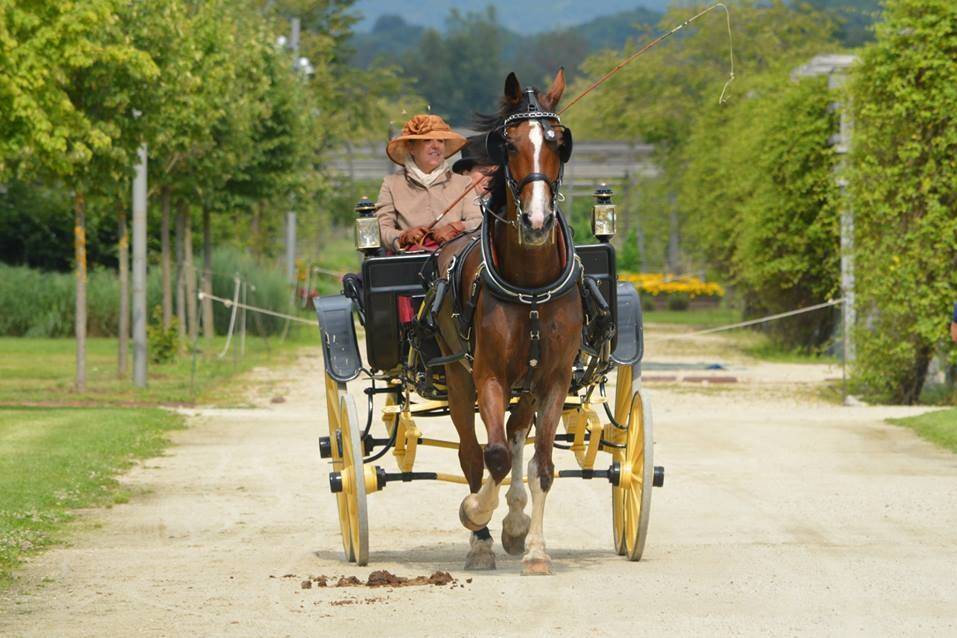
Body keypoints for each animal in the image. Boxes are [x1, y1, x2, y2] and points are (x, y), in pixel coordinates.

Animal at [432, 69, 580, 576]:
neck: (530, 284)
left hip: (527, 383)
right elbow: (491, 456)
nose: (536, 221)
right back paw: (480, 540)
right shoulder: (489, 374)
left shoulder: (553, 378)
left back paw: (514, 523)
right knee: (472, 453)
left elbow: (543, 465)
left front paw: (534, 547)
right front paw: (474, 512)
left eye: (558, 142)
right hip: (458, 378)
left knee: (516, 436)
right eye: (508, 144)